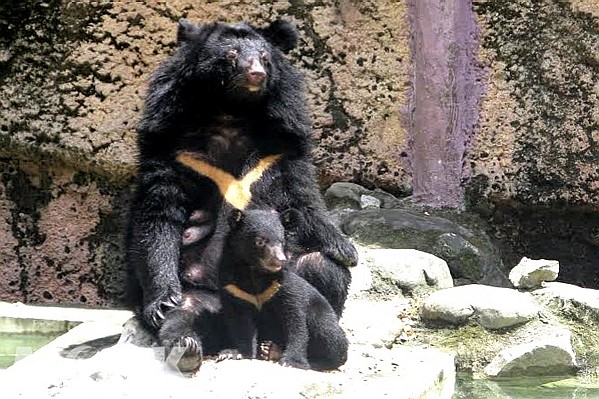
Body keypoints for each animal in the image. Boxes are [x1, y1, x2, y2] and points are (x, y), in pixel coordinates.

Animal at [125, 17, 356, 366]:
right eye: (231, 54)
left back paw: (276, 346)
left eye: (264, 56)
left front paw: (346, 249)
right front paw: (161, 301)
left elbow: (303, 197)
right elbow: (159, 215)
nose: (256, 74)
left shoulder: (281, 143)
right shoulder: (170, 141)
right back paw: (190, 348)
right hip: (200, 290)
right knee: (183, 312)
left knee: (321, 269)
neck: (231, 111)